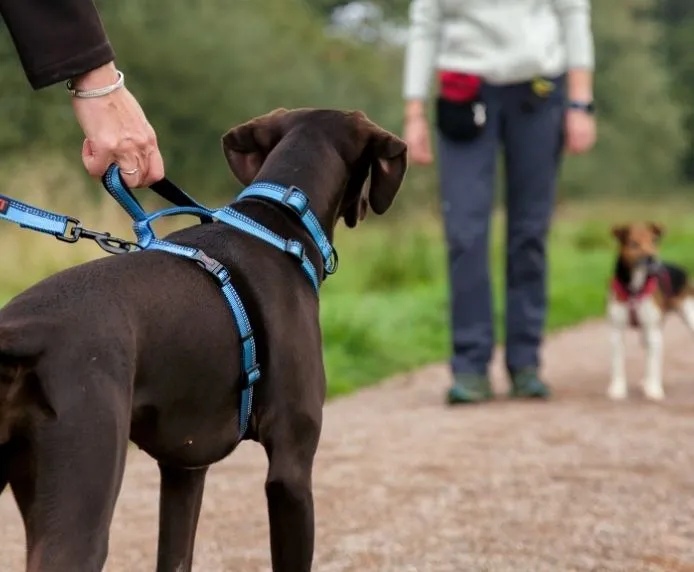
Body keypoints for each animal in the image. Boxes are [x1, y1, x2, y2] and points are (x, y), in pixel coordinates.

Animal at [608, 221, 694, 400]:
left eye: (654, 241)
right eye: (634, 243)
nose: (652, 258)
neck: (634, 287)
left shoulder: (653, 331)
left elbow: (653, 364)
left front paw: (654, 389)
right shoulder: (616, 332)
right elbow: (617, 364)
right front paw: (617, 389)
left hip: (688, 315)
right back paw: (644, 381)